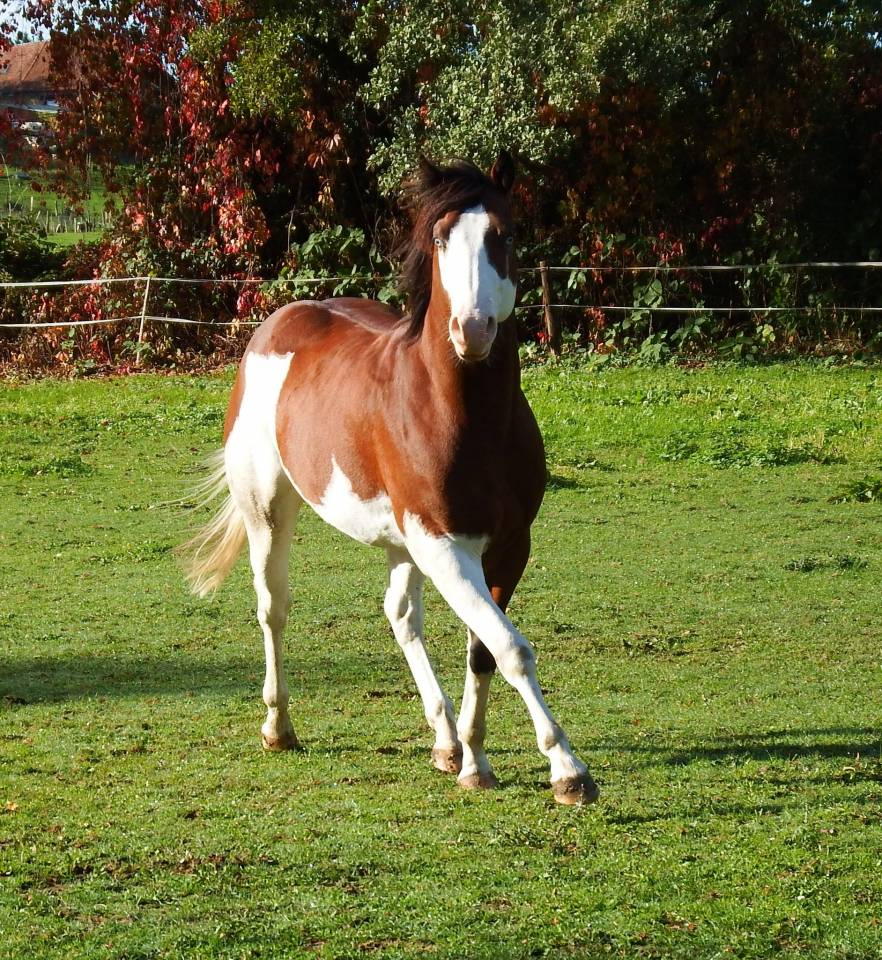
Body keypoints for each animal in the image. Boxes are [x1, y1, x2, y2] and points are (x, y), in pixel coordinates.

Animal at [183, 153, 598, 805]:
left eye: (505, 235)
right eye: (440, 237)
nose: (472, 331)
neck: (464, 419)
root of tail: (277, 323)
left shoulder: (506, 547)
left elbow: (484, 651)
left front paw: (475, 762)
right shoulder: (445, 546)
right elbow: (511, 648)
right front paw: (568, 769)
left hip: (401, 545)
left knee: (401, 616)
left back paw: (446, 743)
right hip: (269, 513)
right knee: (273, 607)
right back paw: (279, 728)